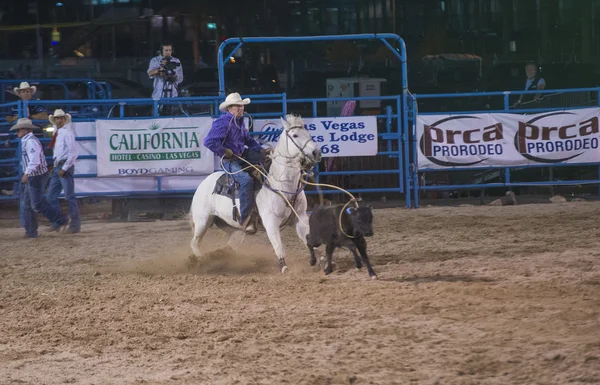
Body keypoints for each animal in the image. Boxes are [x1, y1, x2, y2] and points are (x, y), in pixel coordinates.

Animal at [189, 114, 322, 272]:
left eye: (308, 133)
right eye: (295, 135)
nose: (316, 152)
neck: (282, 183)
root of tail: (203, 183)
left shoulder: (300, 218)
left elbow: (308, 238)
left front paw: (320, 259)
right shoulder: (270, 221)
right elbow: (278, 245)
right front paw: (283, 266)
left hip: (234, 228)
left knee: (229, 246)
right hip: (202, 221)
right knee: (194, 243)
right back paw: (201, 260)